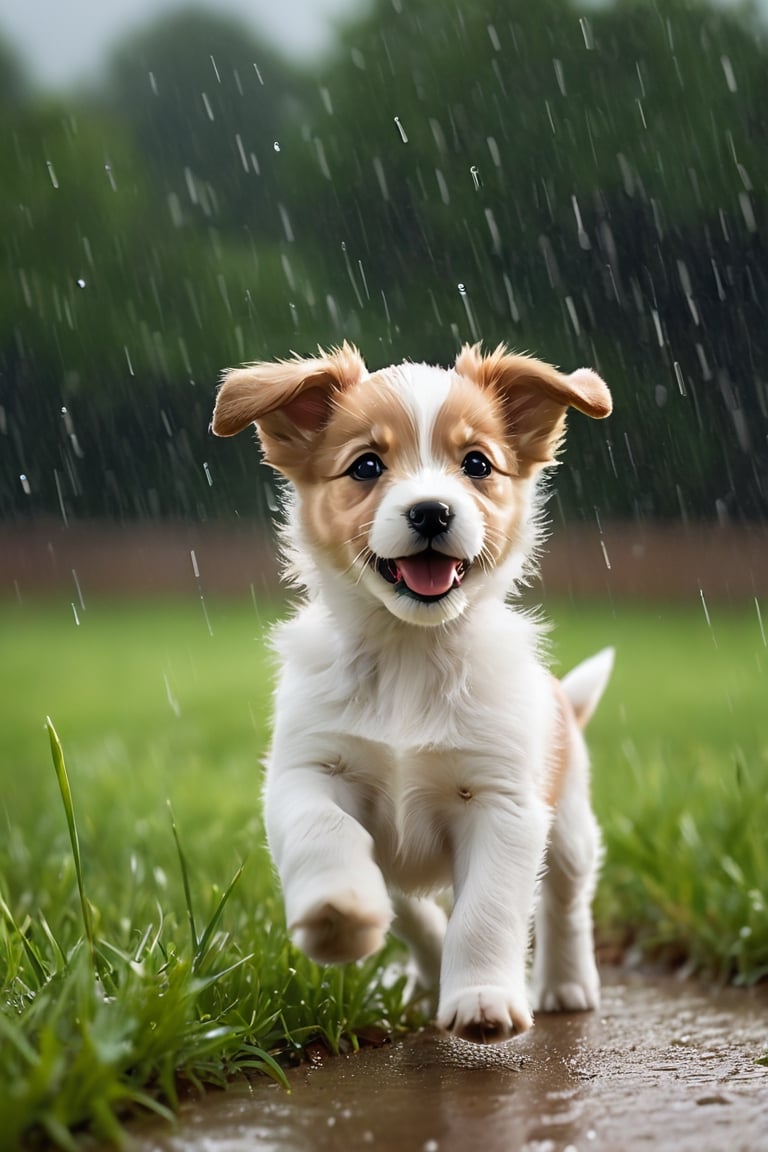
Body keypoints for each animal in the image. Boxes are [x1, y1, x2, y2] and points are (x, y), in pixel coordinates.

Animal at [213, 340, 617, 1046]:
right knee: (411, 910)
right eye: (367, 465)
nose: (431, 510)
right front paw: (338, 916)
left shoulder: (504, 804)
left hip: (568, 823)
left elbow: (487, 910)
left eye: (477, 463)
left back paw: (565, 985)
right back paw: (421, 969)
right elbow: (324, 832)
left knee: (566, 902)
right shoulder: (307, 772)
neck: (410, 652)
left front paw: (483, 997)